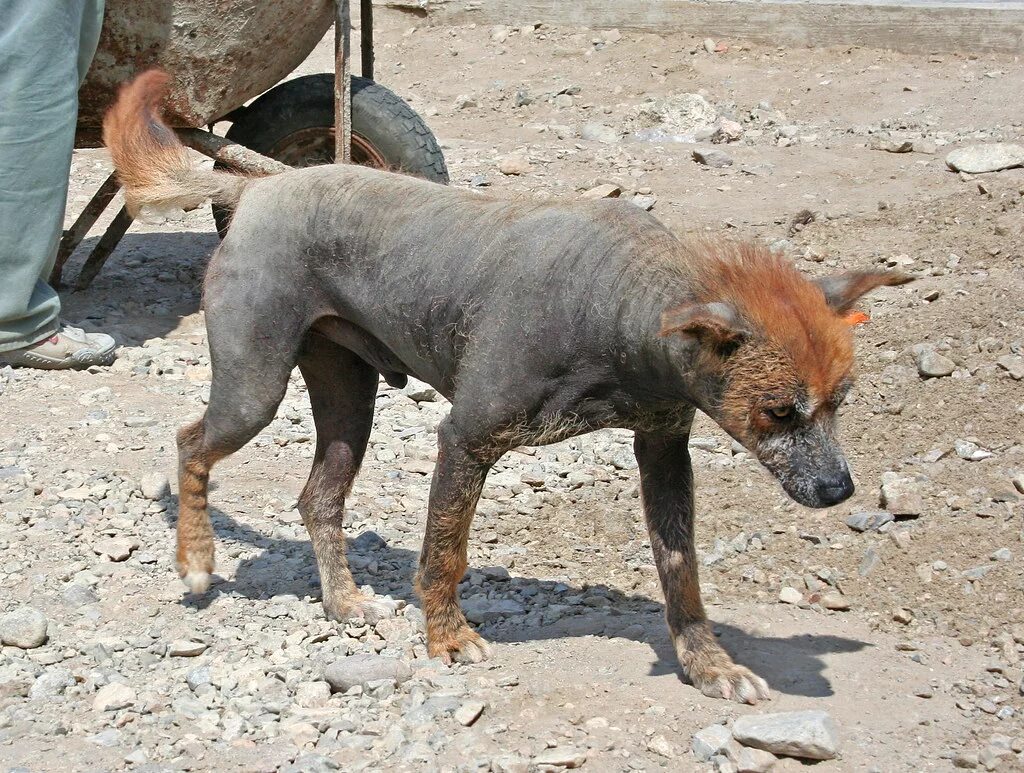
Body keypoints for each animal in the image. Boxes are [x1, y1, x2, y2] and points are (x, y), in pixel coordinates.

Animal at [101, 69, 913, 704]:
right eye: (778, 412)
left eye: (840, 403)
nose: (840, 490)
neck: (617, 299)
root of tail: (257, 187)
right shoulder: (466, 438)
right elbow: (444, 552)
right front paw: (446, 638)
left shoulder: (663, 450)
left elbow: (681, 575)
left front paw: (708, 664)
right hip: (254, 388)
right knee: (190, 443)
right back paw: (197, 558)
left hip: (346, 401)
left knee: (317, 499)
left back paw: (342, 599)